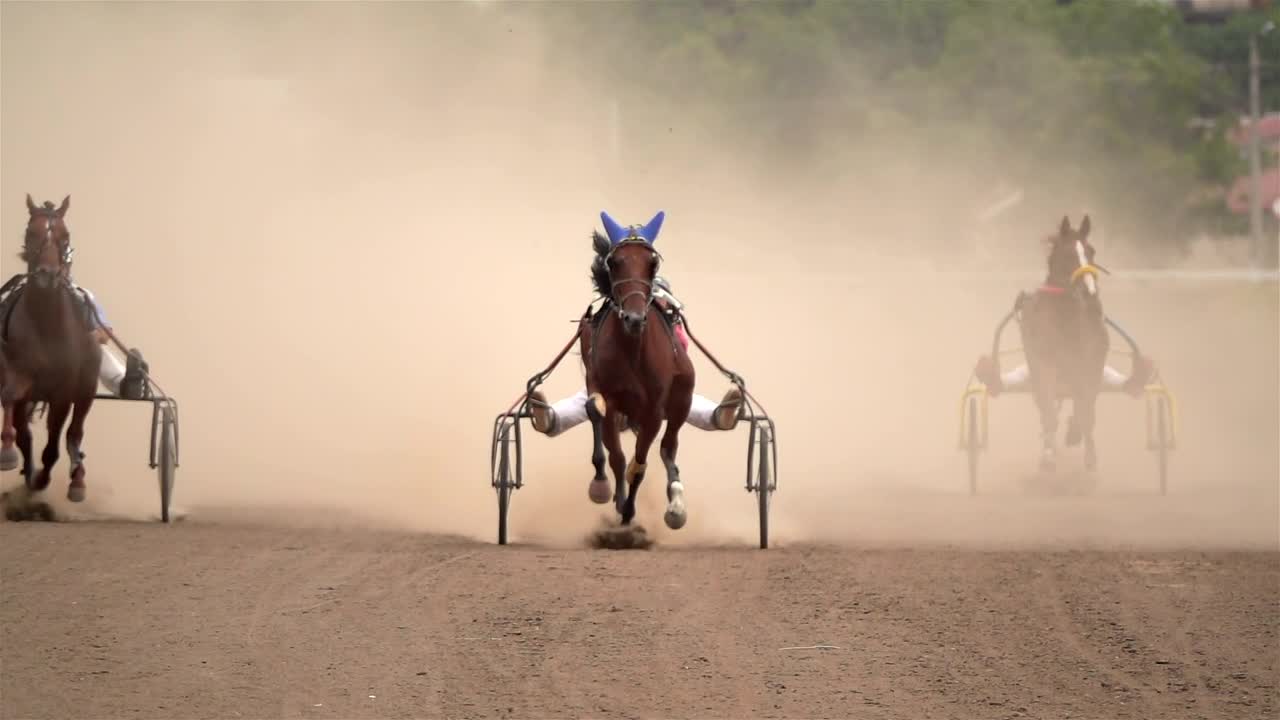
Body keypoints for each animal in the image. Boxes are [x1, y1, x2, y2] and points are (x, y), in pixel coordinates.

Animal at [0, 194, 103, 503]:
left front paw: (44, 478)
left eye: (64, 235)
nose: (47, 275)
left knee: (75, 432)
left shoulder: (63, 392)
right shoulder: (17, 372)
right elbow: (10, 399)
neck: (46, 324)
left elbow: (56, 442)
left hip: (87, 387)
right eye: (30, 232)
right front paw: (9, 454)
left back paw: (76, 478)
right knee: (27, 431)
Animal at [579, 210, 696, 529]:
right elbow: (617, 455)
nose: (633, 318)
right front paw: (617, 500)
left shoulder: (654, 410)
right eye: (614, 262)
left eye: (652, 263)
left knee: (668, 446)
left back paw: (676, 500)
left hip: (682, 396)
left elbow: (639, 464)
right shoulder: (607, 394)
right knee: (595, 416)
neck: (632, 352)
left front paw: (630, 509)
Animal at [1018, 214, 1109, 474]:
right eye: (1068, 254)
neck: (1065, 322)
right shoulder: (1043, 363)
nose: (1090, 292)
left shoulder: (1090, 364)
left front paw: (1088, 453)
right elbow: (1049, 411)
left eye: (1091, 251)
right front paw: (1048, 456)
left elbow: (1086, 409)